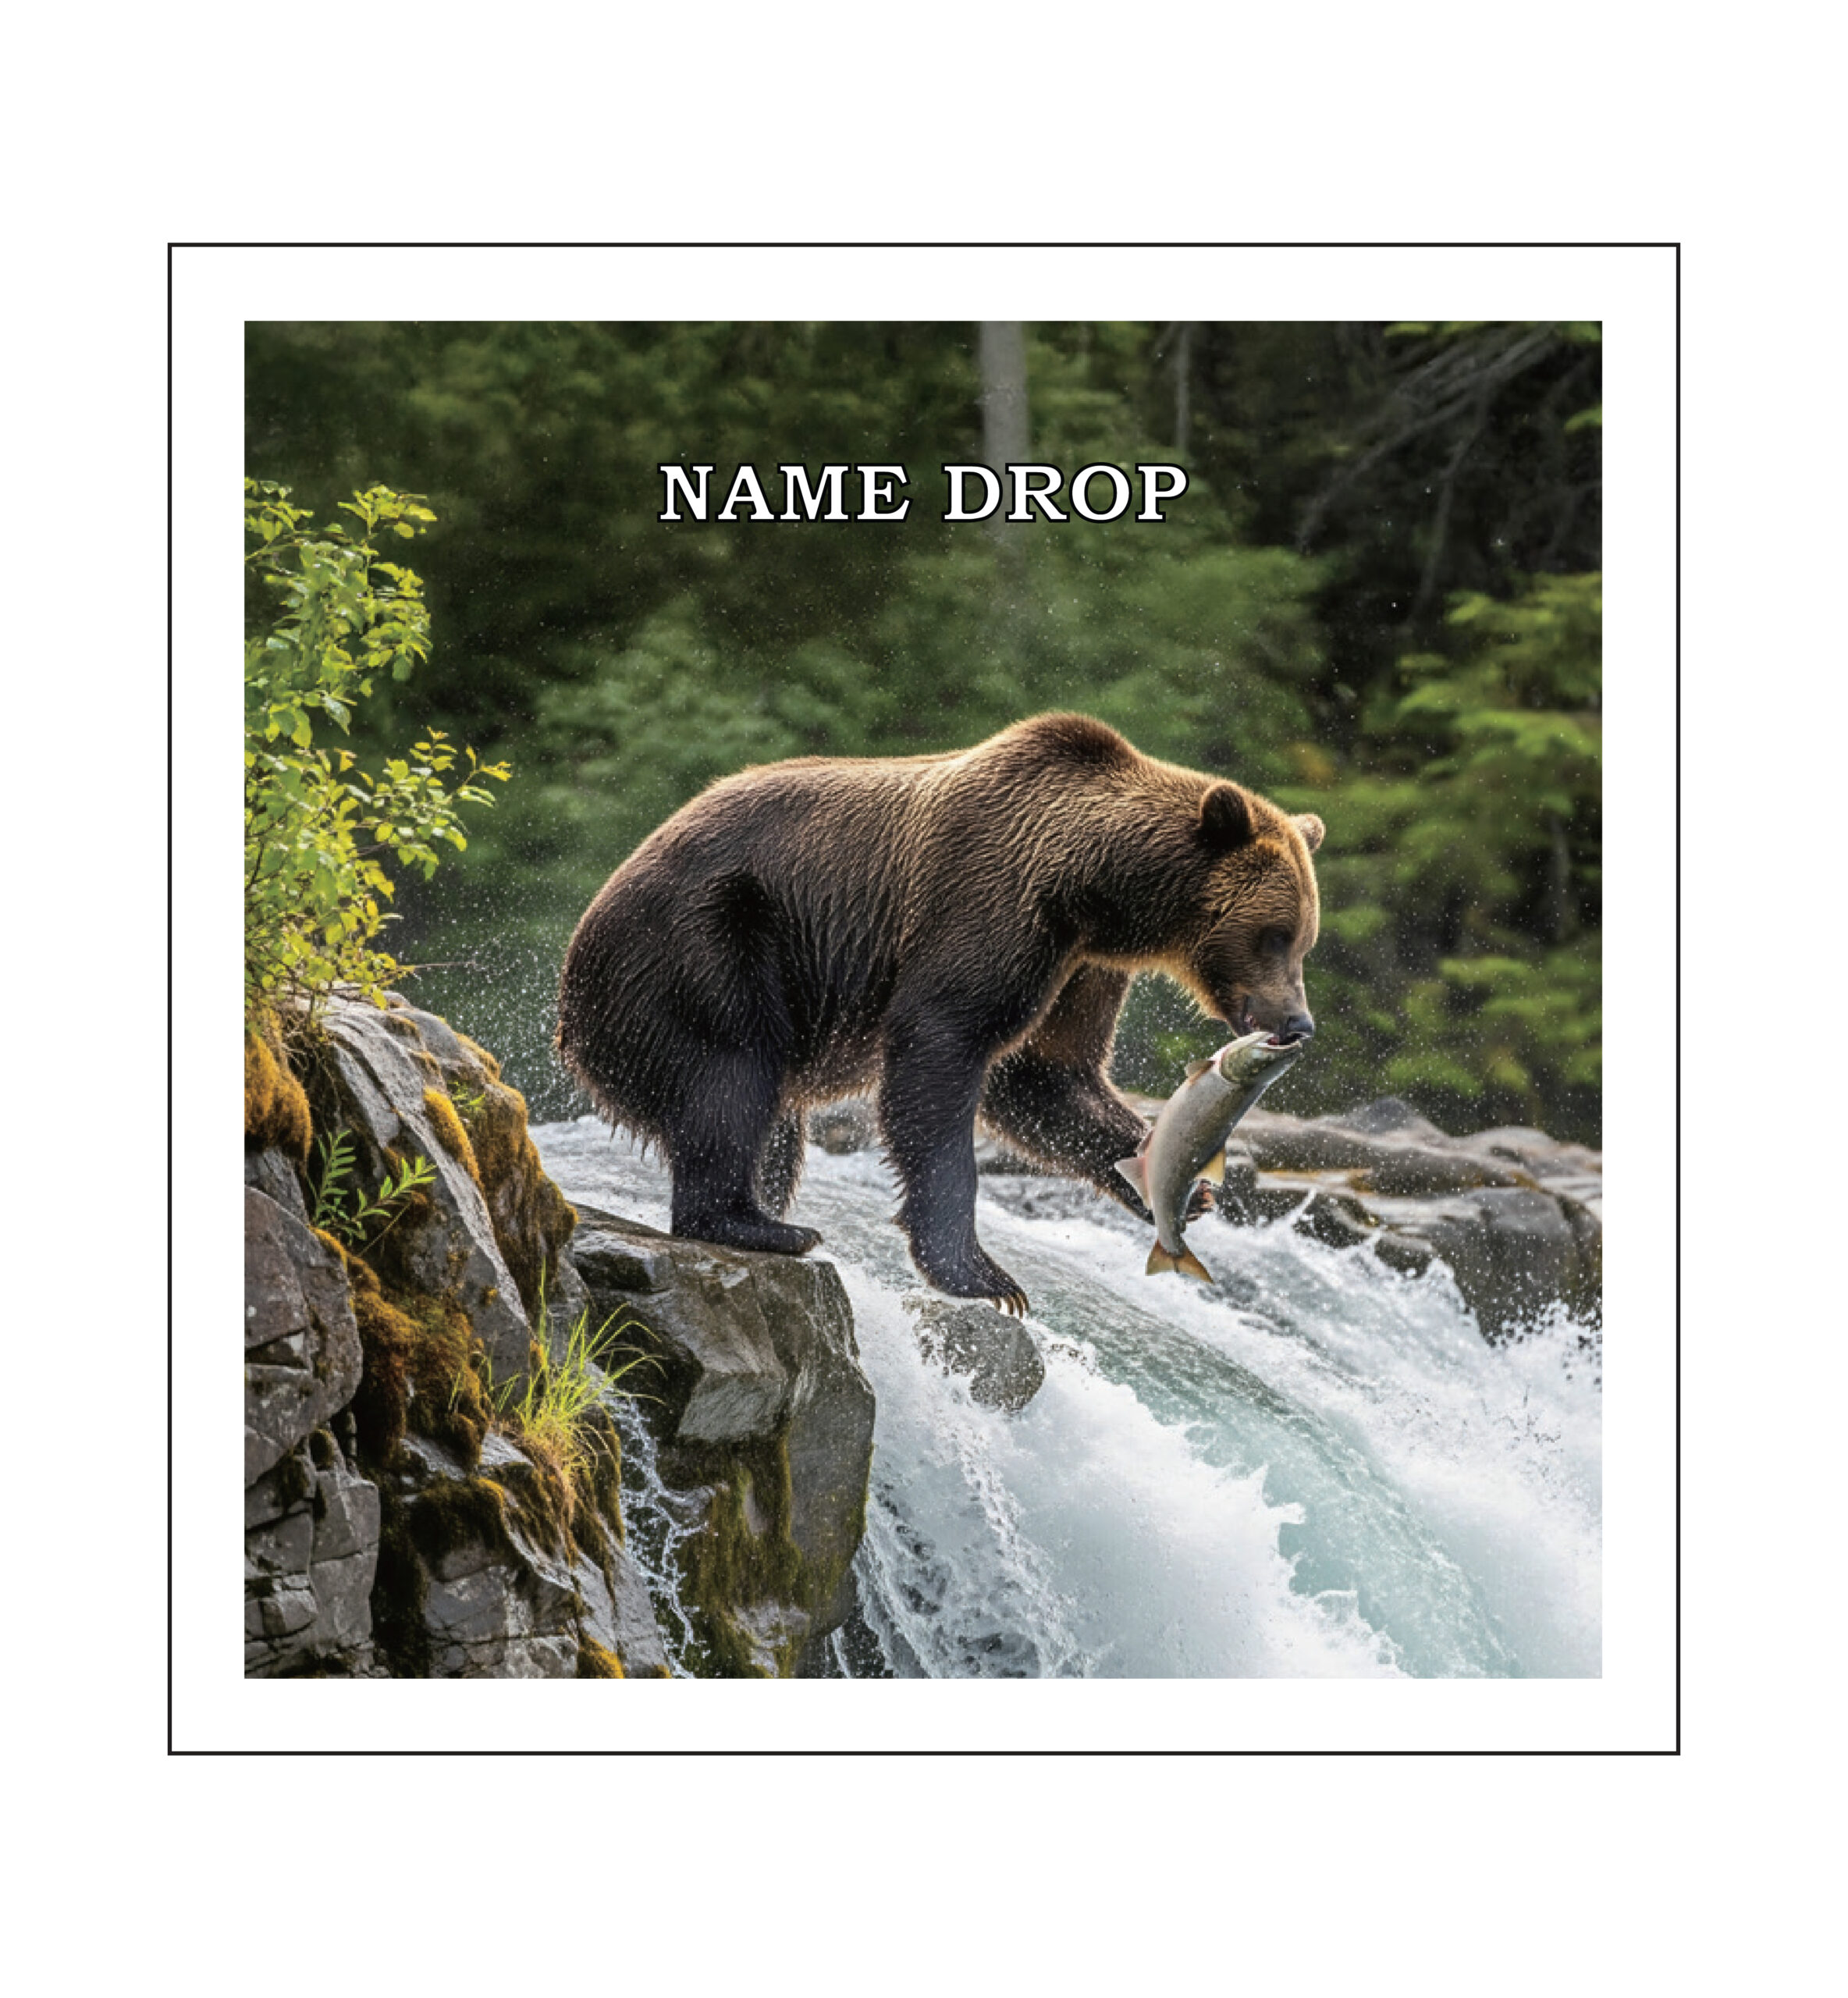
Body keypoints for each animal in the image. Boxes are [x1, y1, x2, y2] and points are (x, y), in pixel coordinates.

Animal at [555, 713, 1324, 1313]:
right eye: (1276, 933)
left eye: (1303, 939)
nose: (1298, 1023)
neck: (1098, 892)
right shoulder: (994, 901)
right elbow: (943, 1048)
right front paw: (983, 1275)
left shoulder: (1082, 965)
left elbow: (1046, 1074)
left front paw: (1179, 1188)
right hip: (706, 939)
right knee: (731, 1074)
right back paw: (754, 1224)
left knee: (773, 1127)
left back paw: (768, 1211)